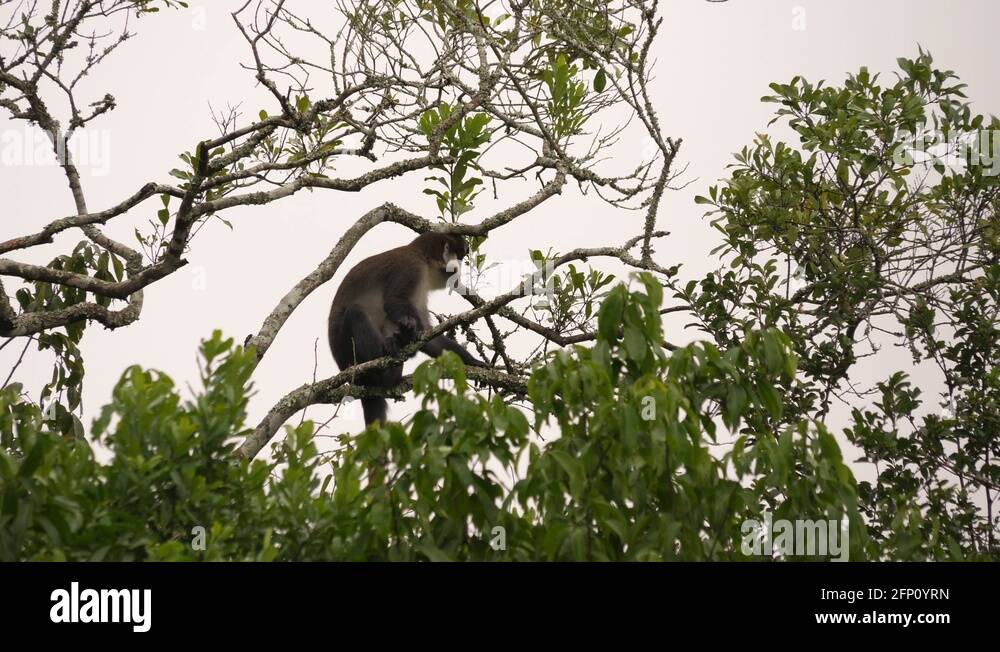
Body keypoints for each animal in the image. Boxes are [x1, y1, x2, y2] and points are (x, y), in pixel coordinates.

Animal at [328, 232, 488, 425]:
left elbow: (429, 338)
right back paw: (386, 370)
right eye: (458, 256)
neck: (422, 257)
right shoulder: (412, 267)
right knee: (355, 311)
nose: (458, 271)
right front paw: (409, 335)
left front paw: (474, 362)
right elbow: (393, 301)